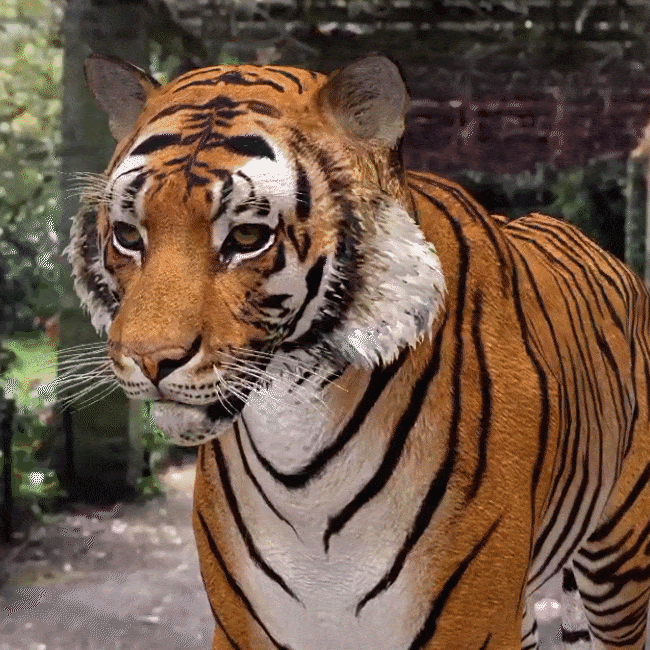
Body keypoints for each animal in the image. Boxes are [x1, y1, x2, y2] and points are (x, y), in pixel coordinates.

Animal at [67, 53, 650, 650]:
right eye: (127, 235)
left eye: (248, 238)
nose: (149, 359)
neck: (298, 447)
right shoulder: (245, 626)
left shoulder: (474, 621)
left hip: (620, 559)